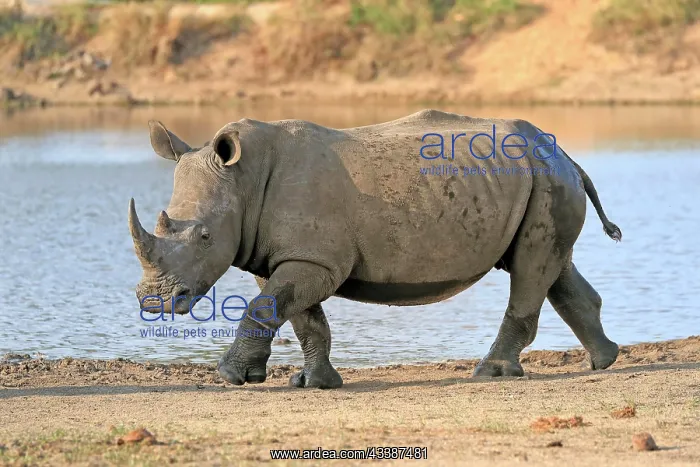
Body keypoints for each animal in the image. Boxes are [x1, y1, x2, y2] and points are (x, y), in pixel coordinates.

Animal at [128, 109, 622, 389]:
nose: (154, 302)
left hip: (545, 176)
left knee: (530, 268)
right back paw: (605, 361)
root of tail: (562, 152)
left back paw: (490, 374)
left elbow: (265, 307)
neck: (243, 179)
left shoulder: (314, 259)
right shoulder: (290, 256)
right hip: (540, 179)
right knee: (550, 264)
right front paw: (314, 383)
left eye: (205, 237)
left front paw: (230, 378)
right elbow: (299, 316)